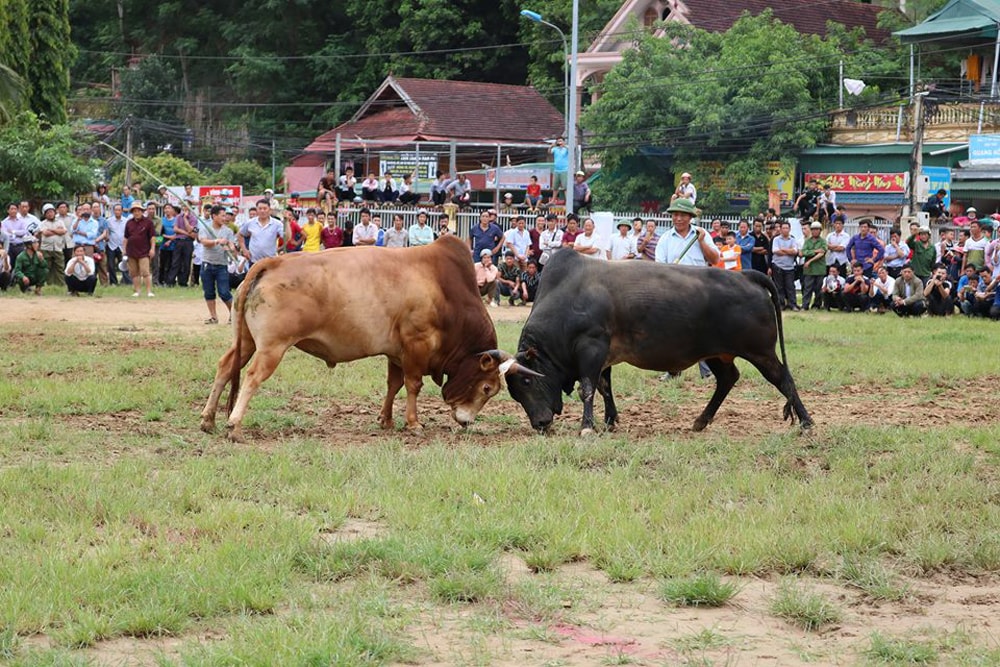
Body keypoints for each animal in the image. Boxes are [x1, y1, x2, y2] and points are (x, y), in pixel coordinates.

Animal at [199, 236, 536, 444]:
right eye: (488, 388)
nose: (466, 422)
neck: (444, 290)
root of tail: (270, 263)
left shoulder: (396, 353)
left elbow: (393, 384)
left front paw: (386, 420)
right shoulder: (416, 344)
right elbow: (413, 385)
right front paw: (413, 423)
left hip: (246, 342)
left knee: (225, 367)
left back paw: (209, 419)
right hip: (272, 347)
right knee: (253, 376)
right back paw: (234, 425)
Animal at [508, 250, 812, 434]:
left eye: (527, 381)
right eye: (515, 391)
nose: (540, 423)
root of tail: (746, 275)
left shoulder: (591, 348)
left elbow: (588, 389)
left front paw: (587, 426)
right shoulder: (604, 356)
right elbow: (605, 387)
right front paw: (610, 421)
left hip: (761, 352)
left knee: (783, 378)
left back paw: (807, 422)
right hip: (717, 353)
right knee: (728, 378)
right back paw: (701, 421)